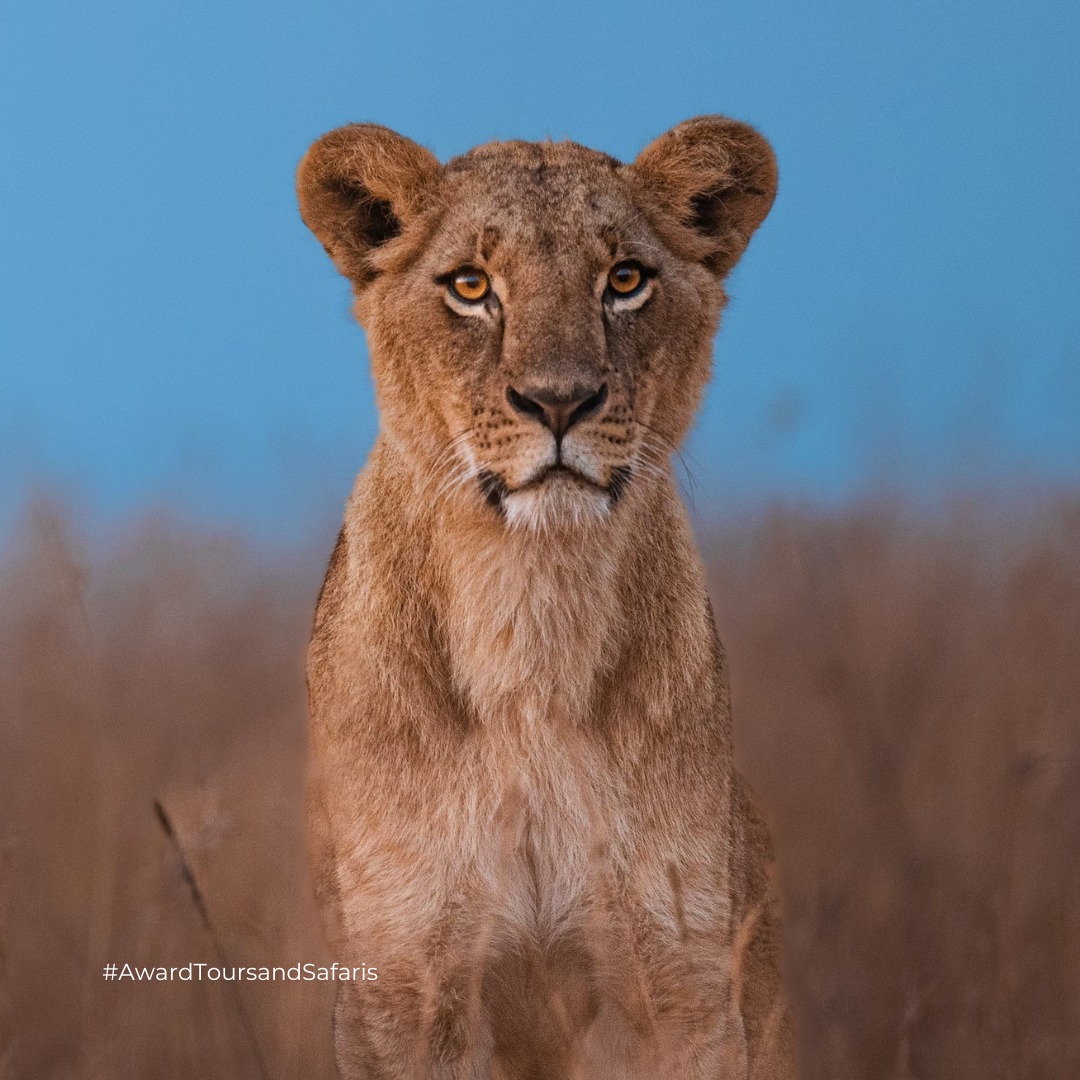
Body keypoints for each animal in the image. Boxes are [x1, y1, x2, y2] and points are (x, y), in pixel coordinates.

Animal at [297, 116, 794, 1079]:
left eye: (625, 280)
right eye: (472, 286)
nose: (559, 401)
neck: (531, 604)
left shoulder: (680, 982)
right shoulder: (403, 982)